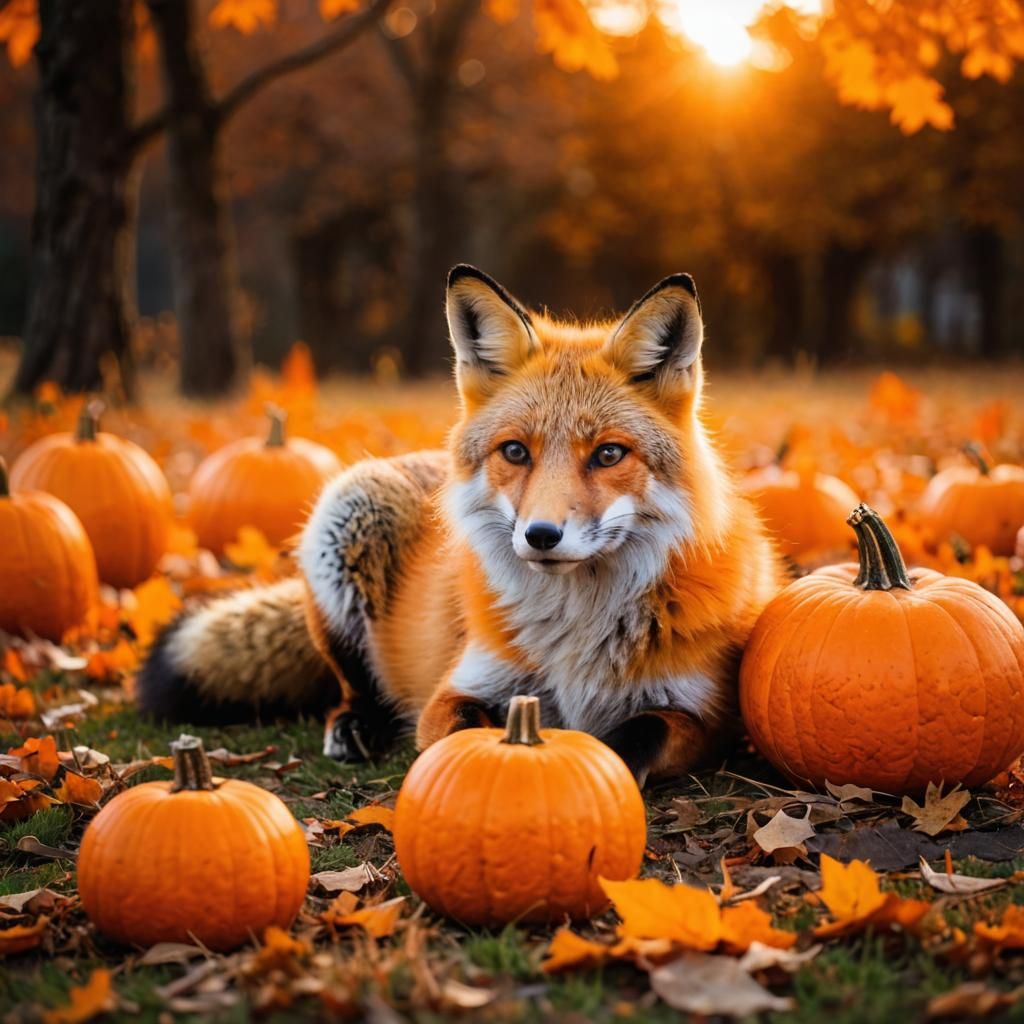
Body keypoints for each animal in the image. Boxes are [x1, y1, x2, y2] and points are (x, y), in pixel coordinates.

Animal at [138, 265, 783, 785]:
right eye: (515, 452)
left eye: (608, 454)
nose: (541, 535)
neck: (576, 634)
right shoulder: (460, 687)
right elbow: (461, 738)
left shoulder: (706, 715)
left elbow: (631, 740)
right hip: (344, 522)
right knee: (350, 684)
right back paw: (354, 725)